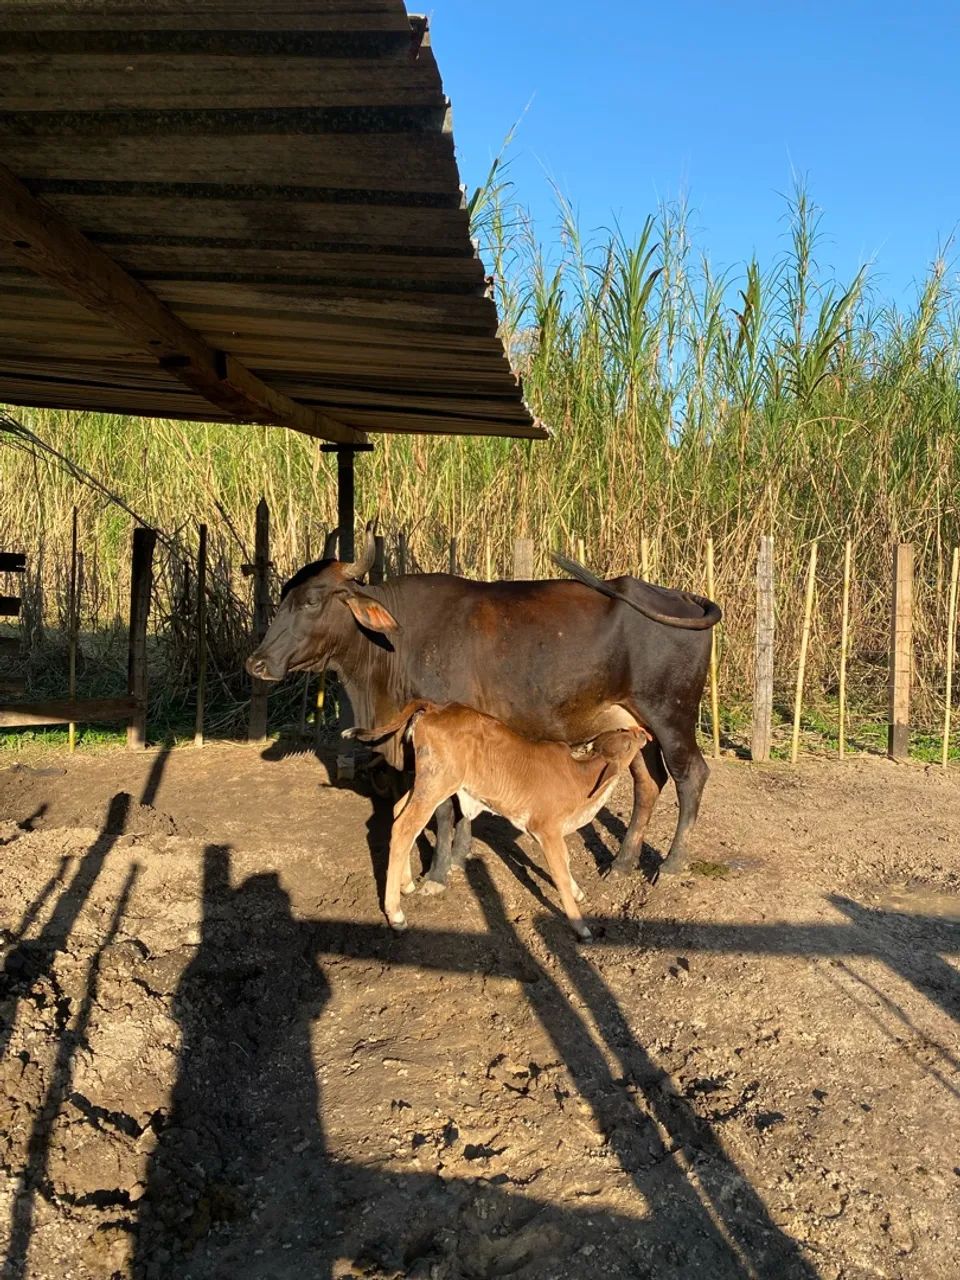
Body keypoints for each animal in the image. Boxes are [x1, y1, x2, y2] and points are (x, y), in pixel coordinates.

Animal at [245, 524, 721, 884]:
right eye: (284, 594)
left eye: (311, 600)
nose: (257, 662)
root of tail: (679, 595)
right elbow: (461, 802)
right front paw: (459, 854)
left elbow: (441, 810)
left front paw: (437, 871)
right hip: (631, 722)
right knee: (648, 782)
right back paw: (621, 863)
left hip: (672, 716)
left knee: (691, 776)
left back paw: (671, 863)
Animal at [347, 701, 651, 938]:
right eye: (626, 739)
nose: (642, 731)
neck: (580, 779)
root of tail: (436, 708)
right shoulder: (547, 831)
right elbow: (561, 874)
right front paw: (580, 926)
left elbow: (565, 864)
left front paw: (578, 893)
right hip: (436, 784)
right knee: (404, 827)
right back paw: (396, 914)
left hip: (427, 784)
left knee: (399, 811)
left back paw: (406, 885)